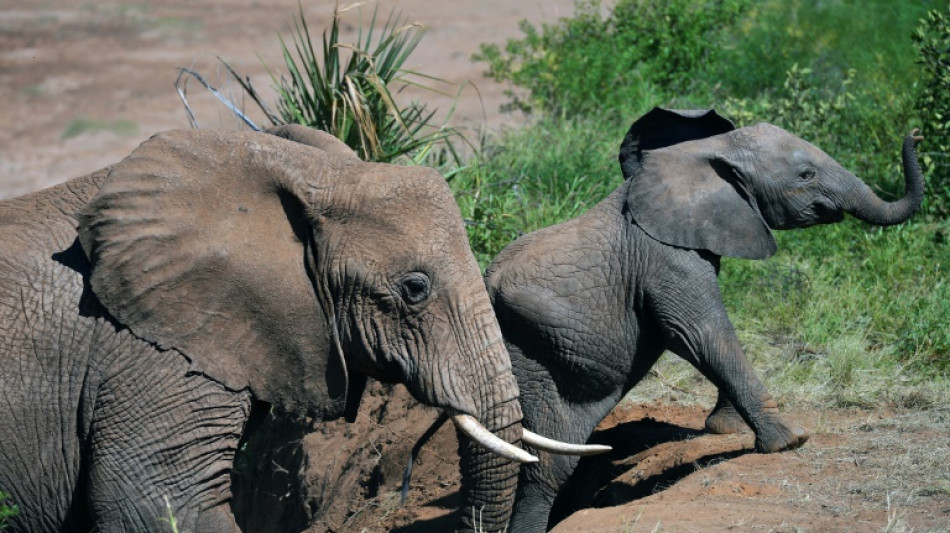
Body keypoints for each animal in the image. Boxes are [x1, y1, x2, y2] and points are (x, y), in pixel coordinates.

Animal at [477, 108, 925, 532]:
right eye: (806, 174)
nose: (916, 134)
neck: (708, 153)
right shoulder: (666, 256)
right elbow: (699, 333)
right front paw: (790, 441)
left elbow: (711, 335)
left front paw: (724, 429)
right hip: (535, 357)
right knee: (546, 463)